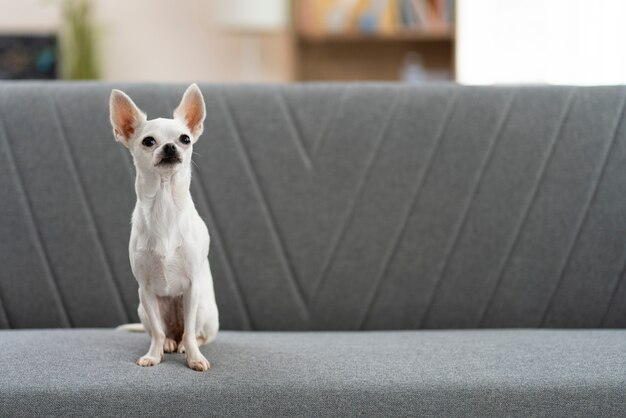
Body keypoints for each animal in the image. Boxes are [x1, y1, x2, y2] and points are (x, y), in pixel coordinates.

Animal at [109, 83, 219, 370]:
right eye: (148, 141)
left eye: (185, 139)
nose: (170, 146)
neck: (165, 205)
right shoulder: (146, 290)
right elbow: (157, 332)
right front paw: (153, 355)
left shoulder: (192, 288)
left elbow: (191, 333)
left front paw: (195, 358)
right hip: (144, 309)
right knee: (165, 331)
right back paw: (170, 343)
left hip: (203, 307)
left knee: (195, 333)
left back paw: (184, 346)